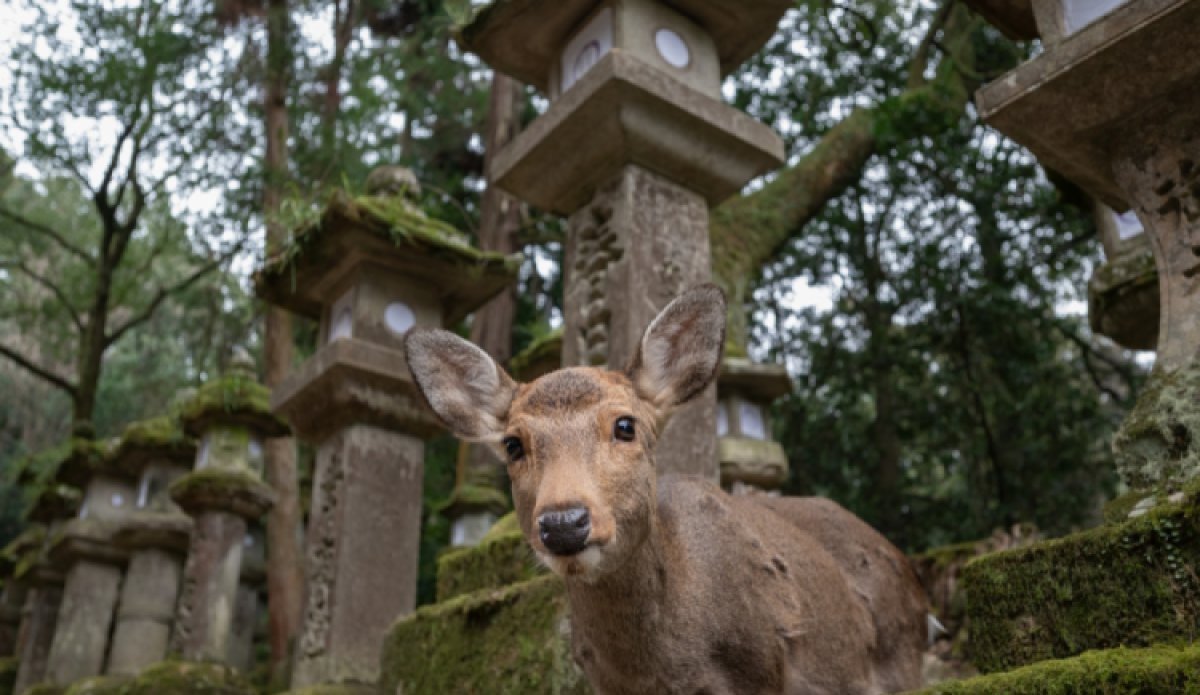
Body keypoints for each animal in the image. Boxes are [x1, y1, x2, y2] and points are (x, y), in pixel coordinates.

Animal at [405, 285, 928, 695]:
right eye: (513, 444)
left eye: (625, 425)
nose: (564, 523)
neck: (665, 667)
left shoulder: (765, 667)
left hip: (900, 653)